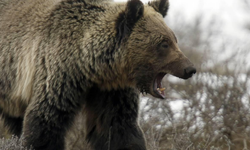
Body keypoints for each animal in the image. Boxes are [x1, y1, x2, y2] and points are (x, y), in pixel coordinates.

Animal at [0, 0, 195, 149]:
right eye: (164, 43)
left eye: (174, 39)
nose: (190, 69)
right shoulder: (58, 76)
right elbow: (45, 122)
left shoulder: (111, 91)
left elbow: (118, 127)